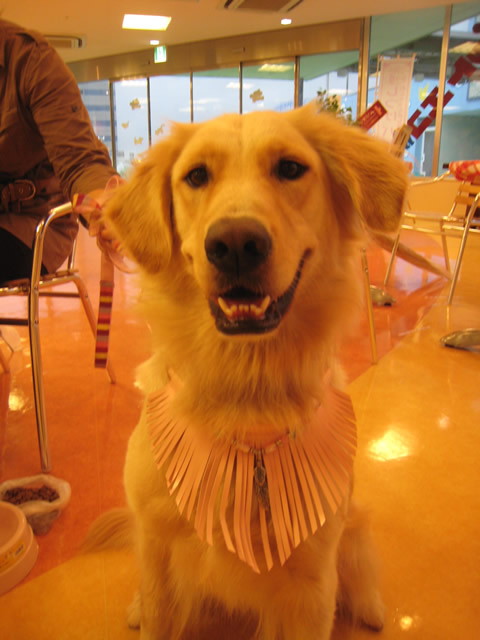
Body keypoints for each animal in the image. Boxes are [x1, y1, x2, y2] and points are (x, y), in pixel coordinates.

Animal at [100, 104, 408, 640]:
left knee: (359, 563)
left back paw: (371, 607)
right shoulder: (159, 555)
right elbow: (157, 604)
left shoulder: (311, 581)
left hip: (349, 527)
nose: (236, 243)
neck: (244, 388)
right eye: (196, 176)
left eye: (290, 168)